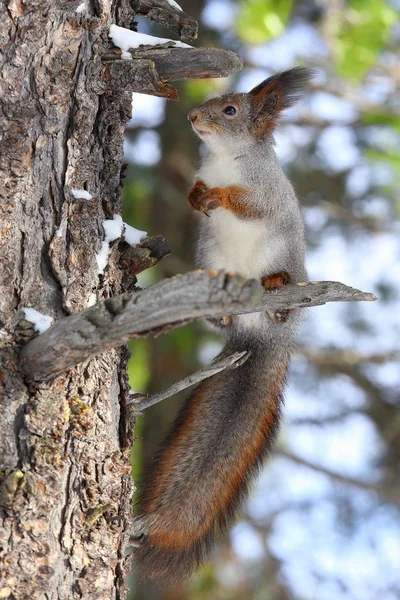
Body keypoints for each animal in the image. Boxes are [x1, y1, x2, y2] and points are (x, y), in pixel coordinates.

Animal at [133, 68, 310, 588]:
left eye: (230, 110)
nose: (193, 116)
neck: (225, 160)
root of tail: (261, 334)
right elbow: (195, 193)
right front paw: (197, 196)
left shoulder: (266, 191)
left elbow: (249, 204)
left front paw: (219, 197)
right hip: (209, 257)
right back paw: (222, 313)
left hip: (284, 260)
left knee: (281, 290)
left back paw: (278, 293)